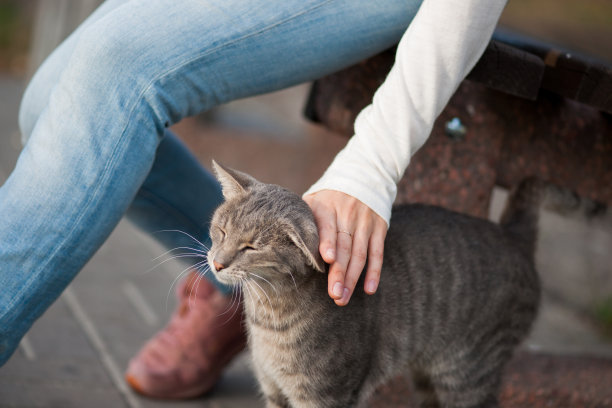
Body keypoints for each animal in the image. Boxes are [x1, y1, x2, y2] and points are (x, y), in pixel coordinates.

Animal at [207, 161, 540, 406]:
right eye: (221, 231)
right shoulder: (274, 390)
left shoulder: (327, 395)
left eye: (251, 247)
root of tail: (512, 235)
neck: (268, 318)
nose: (217, 262)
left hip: (468, 374)